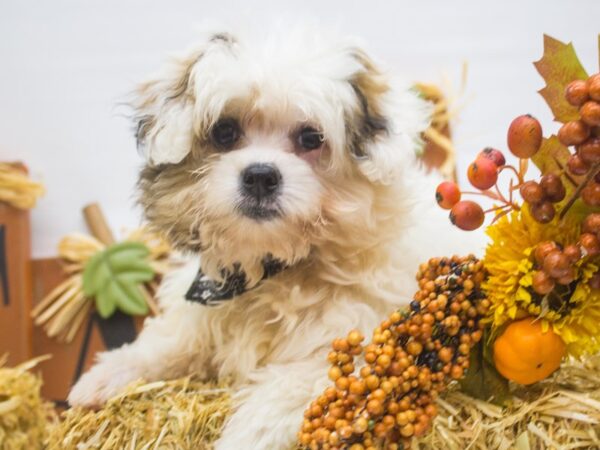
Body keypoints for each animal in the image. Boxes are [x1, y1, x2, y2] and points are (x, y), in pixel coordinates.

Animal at [68, 25, 478, 450]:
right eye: (225, 131)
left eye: (311, 138)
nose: (261, 176)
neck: (279, 264)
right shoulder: (203, 307)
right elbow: (170, 341)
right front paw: (106, 375)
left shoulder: (355, 349)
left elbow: (278, 395)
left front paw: (238, 439)